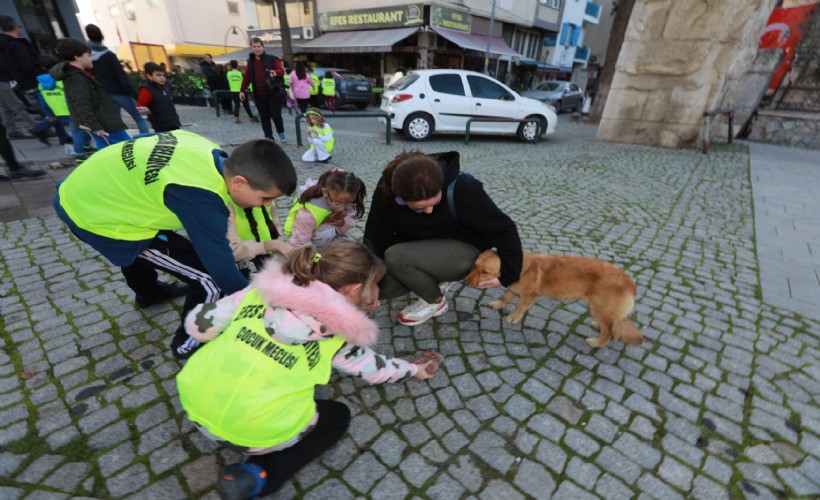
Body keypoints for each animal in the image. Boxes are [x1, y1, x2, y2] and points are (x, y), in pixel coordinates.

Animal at [464, 250, 644, 348]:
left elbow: (519, 306)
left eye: (485, 272)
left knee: (609, 331)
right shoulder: (513, 288)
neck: (520, 267)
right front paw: (498, 304)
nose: (464, 282)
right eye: (474, 266)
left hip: (597, 306)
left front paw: (514, 317)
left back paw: (597, 342)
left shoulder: (529, 295)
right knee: (611, 324)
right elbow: (506, 296)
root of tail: (629, 283)